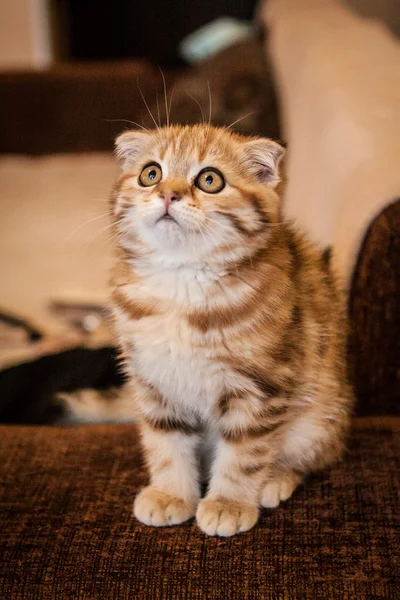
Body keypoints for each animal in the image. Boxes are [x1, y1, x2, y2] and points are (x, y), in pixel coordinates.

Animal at [109, 124, 354, 536]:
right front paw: (171, 494)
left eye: (210, 180)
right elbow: (165, 441)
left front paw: (229, 503)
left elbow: (245, 451)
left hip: (321, 410)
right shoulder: (153, 379)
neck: (181, 281)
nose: (168, 193)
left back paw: (276, 479)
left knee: (316, 456)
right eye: (150, 174)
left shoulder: (262, 386)